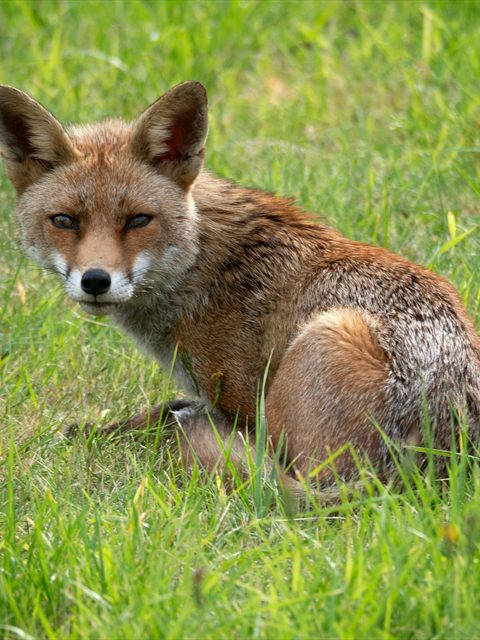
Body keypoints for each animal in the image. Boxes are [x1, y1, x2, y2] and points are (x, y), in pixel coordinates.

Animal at [1, 80, 480, 495]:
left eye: (138, 220)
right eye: (64, 220)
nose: (96, 281)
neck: (201, 264)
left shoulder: (244, 404)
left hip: (326, 341)